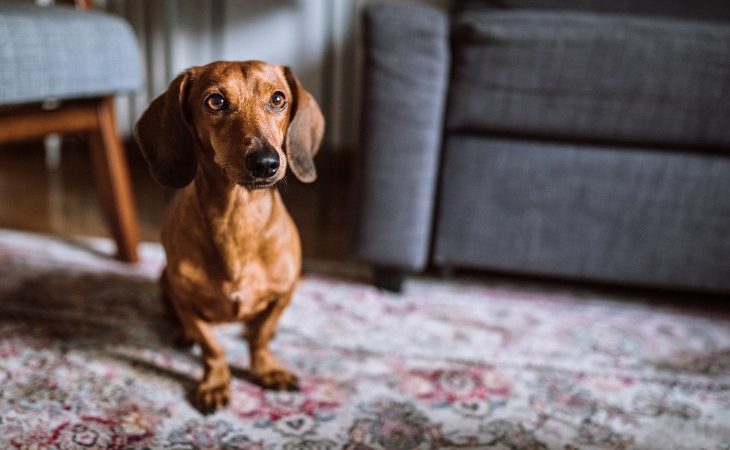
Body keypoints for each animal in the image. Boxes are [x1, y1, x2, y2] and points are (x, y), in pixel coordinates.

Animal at [132, 61, 324, 414]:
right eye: (215, 101)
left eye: (278, 99)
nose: (265, 162)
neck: (238, 220)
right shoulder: (187, 302)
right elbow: (211, 348)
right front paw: (215, 383)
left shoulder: (284, 293)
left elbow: (259, 337)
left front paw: (267, 369)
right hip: (165, 280)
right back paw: (180, 333)